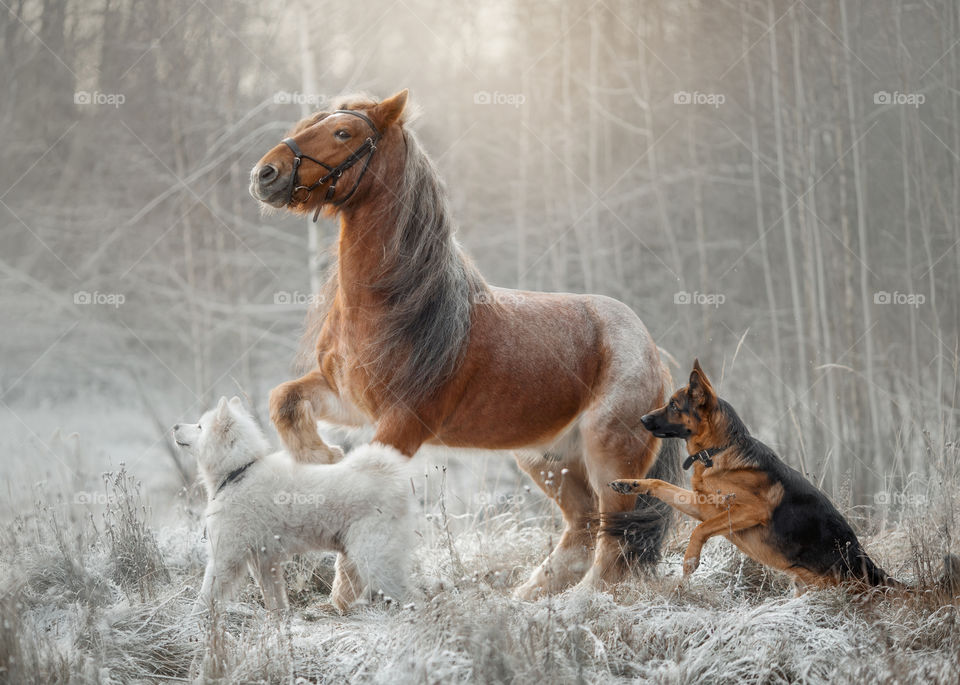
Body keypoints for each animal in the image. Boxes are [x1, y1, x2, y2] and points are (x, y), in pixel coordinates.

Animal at [175, 398, 412, 612]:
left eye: (199, 426)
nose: (175, 426)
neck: (238, 472)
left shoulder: (226, 557)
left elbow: (205, 596)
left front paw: (193, 622)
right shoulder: (264, 561)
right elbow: (275, 602)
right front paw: (279, 625)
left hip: (375, 560)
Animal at [249, 88, 684, 596]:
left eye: (343, 132)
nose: (265, 174)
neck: (398, 305)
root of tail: (652, 352)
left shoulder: (401, 423)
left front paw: (344, 594)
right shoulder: (350, 401)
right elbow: (284, 400)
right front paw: (322, 457)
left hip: (611, 461)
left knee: (612, 551)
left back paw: (575, 605)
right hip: (548, 458)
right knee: (582, 529)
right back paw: (526, 599)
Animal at [612, 360, 896, 592]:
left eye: (673, 405)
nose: (642, 418)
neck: (719, 450)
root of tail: (869, 567)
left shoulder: (750, 510)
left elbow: (700, 530)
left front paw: (690, 560)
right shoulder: (704, 506)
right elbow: (660, 484)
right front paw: (629, 484)